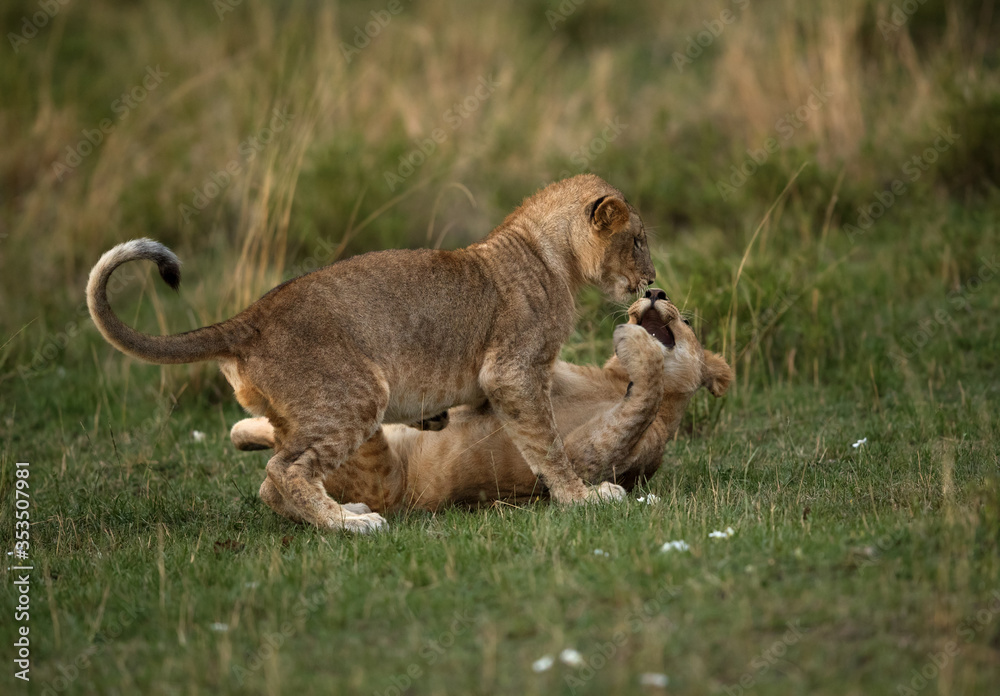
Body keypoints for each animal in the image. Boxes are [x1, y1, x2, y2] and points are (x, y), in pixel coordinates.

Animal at [87, 175, 656, 533]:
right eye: (637, 241)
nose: (652, 283)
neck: (550, 254)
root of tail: (250, 318)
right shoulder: (513, 371)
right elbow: (547, 442)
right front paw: (583, 497)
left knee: (273, 481)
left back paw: (345, 509)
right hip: (355, 395)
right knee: (283, 471)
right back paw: (352, 524)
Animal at [229, 290, 733, 515]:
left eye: (687, 322)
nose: (654, 292)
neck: (611, 383)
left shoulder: (600, 457)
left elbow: (638, 405)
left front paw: (637, 346)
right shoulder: (528, 376)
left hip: (375, 468)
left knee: (286, 460)